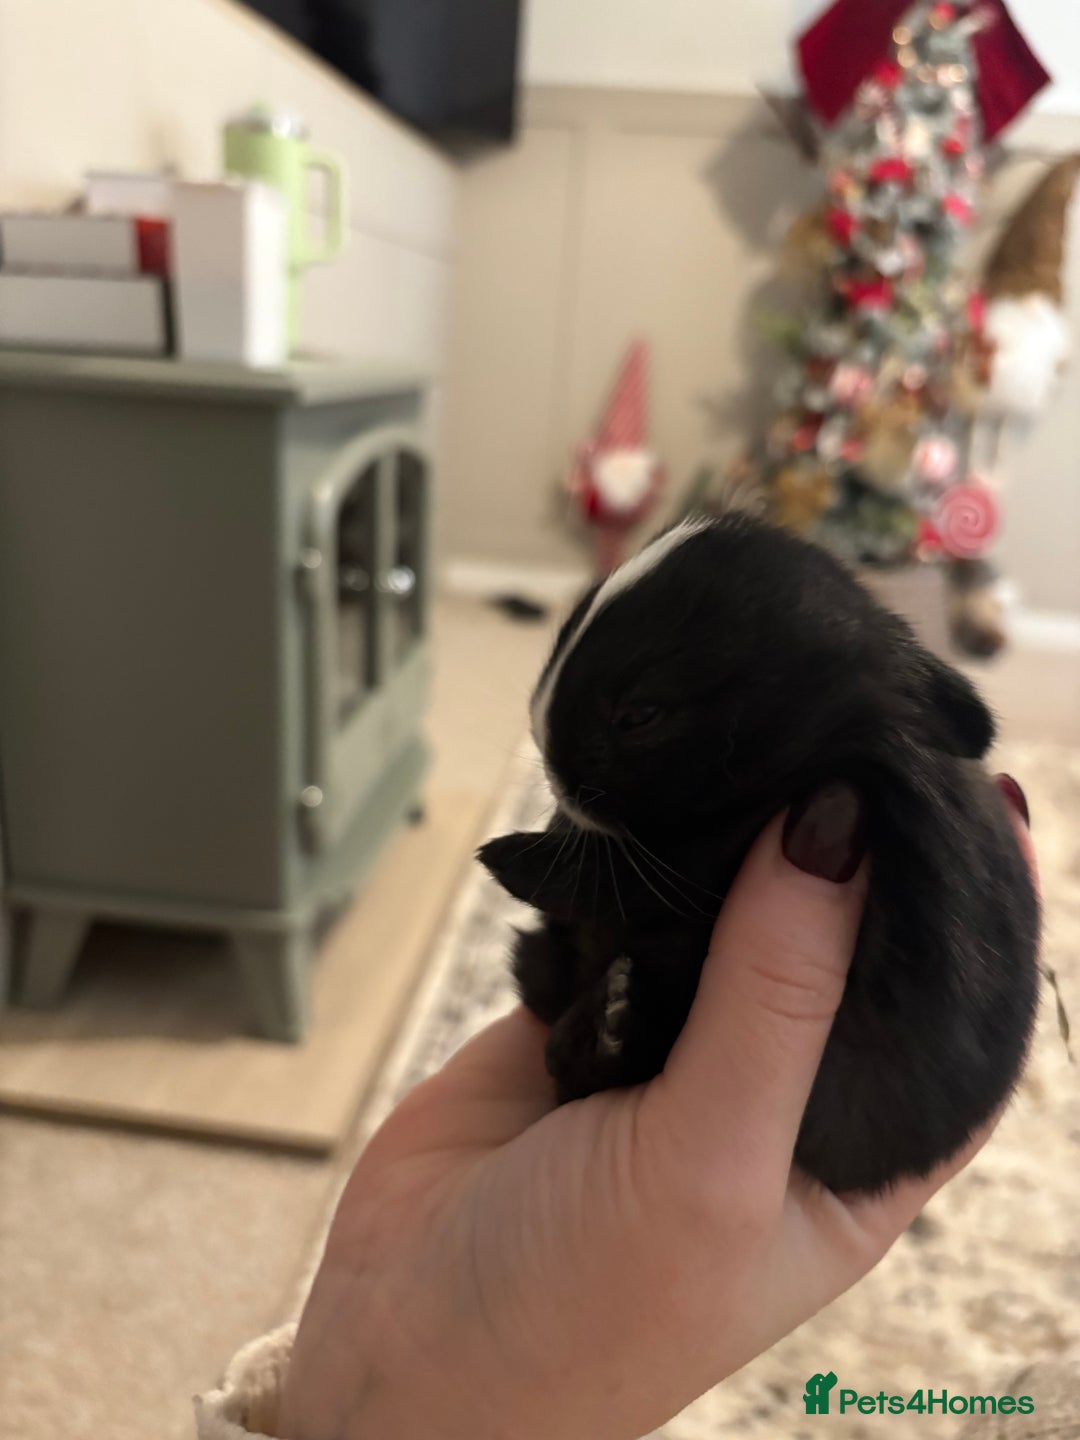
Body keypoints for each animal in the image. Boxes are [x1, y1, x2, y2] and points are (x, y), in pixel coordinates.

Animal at [478, 515, 1040, 1194]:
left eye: (639, 714)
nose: (552, 771)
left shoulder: (704, 863)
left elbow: (619, 881)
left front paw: (512, 857)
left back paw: (607, 1024)